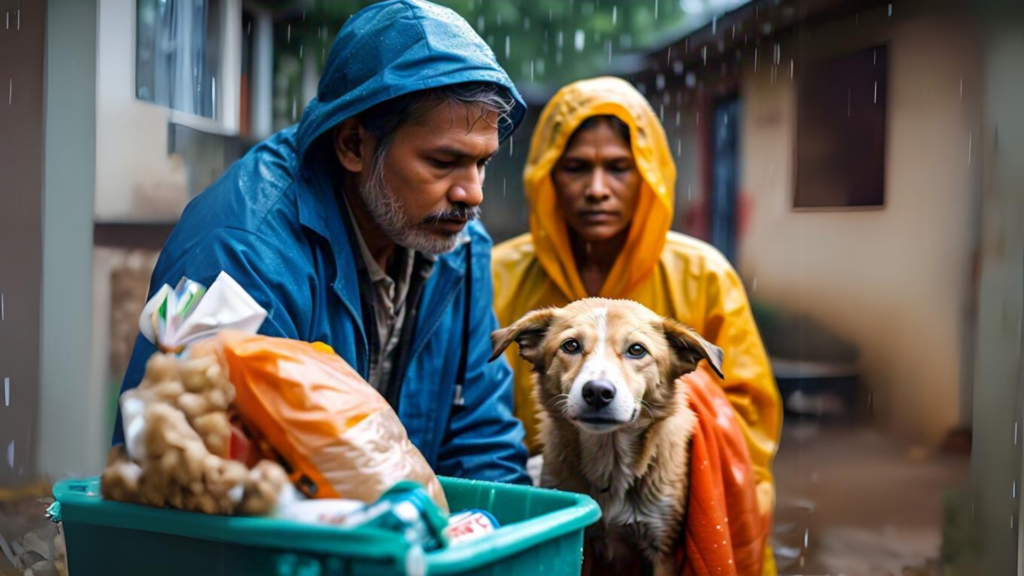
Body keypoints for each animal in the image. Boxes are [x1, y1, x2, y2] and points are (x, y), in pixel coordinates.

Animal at [493, 297, 720, 569]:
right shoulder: (584, 544)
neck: (610, 459)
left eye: (637, 350)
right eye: (571, 345)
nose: (598, 392)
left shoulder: (662, 548)